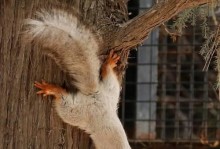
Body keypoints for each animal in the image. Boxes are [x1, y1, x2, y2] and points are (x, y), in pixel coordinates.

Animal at [23, 8, 131, 148]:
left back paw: (109, 63)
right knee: (63, 99)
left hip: (110, 90)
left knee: (108, 75)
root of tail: (95, 93)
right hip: (77, 110)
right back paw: (52, 89)